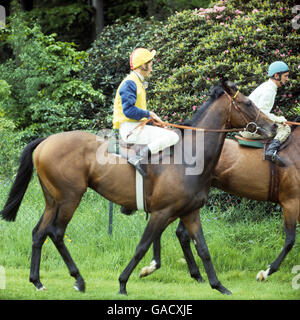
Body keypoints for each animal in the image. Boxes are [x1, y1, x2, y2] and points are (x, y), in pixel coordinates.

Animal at [0, 81, 276, 296]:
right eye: (248, 103)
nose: (273, 127)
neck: (189, 157)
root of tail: (46, 140)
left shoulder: (190, 213)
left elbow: (203, 249)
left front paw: (219, 286)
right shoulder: (162, 212)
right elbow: (143, 246)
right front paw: (123, 283)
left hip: (53, 200)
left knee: (39, 233)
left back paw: (37, 282)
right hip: (70, 198)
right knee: (56, 233)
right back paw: (78, 279)